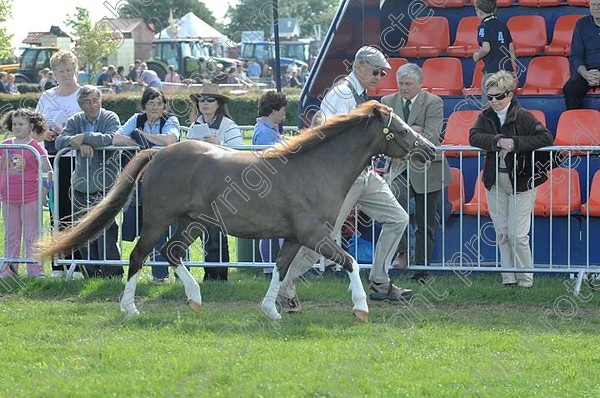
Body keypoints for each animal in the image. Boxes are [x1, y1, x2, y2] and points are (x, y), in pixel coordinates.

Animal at [35, 101, 436, 322]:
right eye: (401, 129)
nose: (431, 150)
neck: (315, 168)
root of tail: (157, 152)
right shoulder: (314, 235)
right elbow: (351, 262)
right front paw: (361, 308)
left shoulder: (295, 238)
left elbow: (281, 269)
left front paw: (272, 310)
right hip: (158, 220)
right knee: (139, 256)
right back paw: (130, 308)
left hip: (193, 223)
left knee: (172, 252)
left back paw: (195, 299)